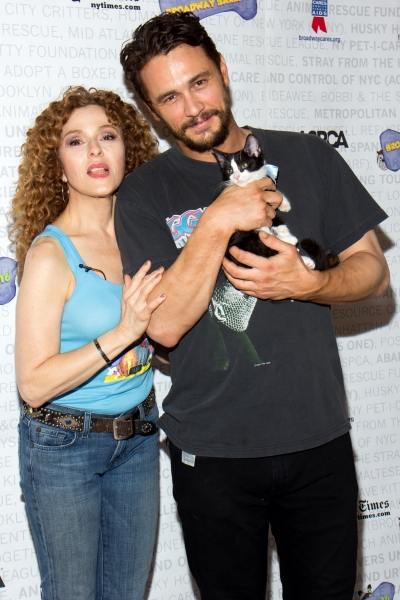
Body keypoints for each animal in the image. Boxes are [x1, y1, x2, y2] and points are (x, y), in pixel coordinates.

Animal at [212, 135, 324, 270]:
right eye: (229, 170)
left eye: (244, 165)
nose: (237, 177)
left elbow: (277, 216)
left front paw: (284, 204)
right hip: (243, 239)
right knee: (263, 246)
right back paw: (291, 242)